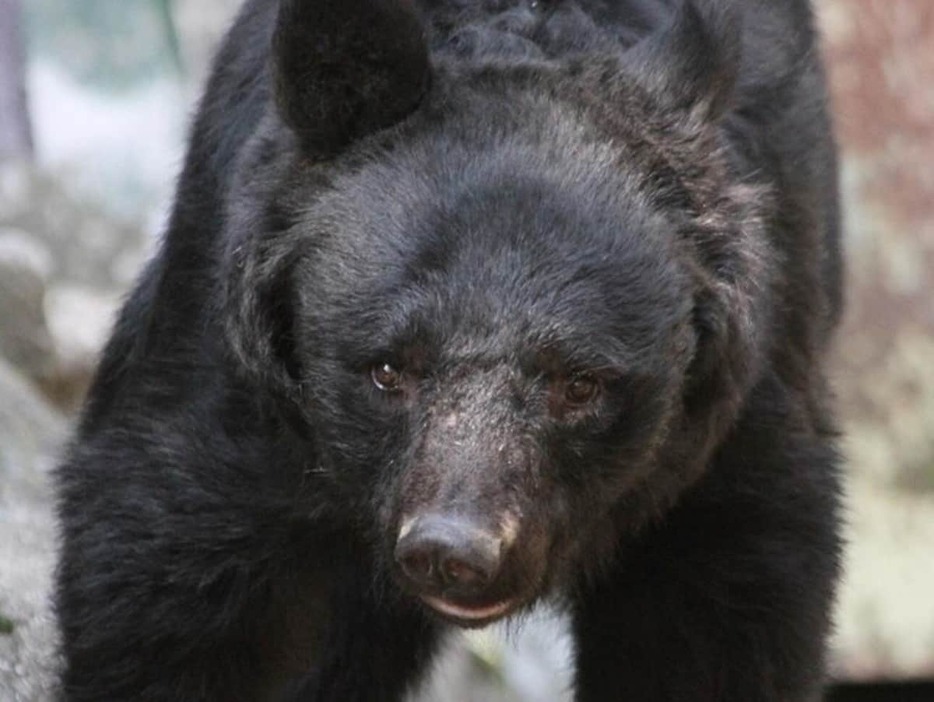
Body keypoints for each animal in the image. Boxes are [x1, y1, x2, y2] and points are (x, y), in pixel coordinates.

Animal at [56, 0, 848, 700]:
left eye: (580, 384)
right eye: (386, 369)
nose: (453, 552)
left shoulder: (737, 408)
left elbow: (721, 617)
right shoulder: (231, 366)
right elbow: (172, 584)